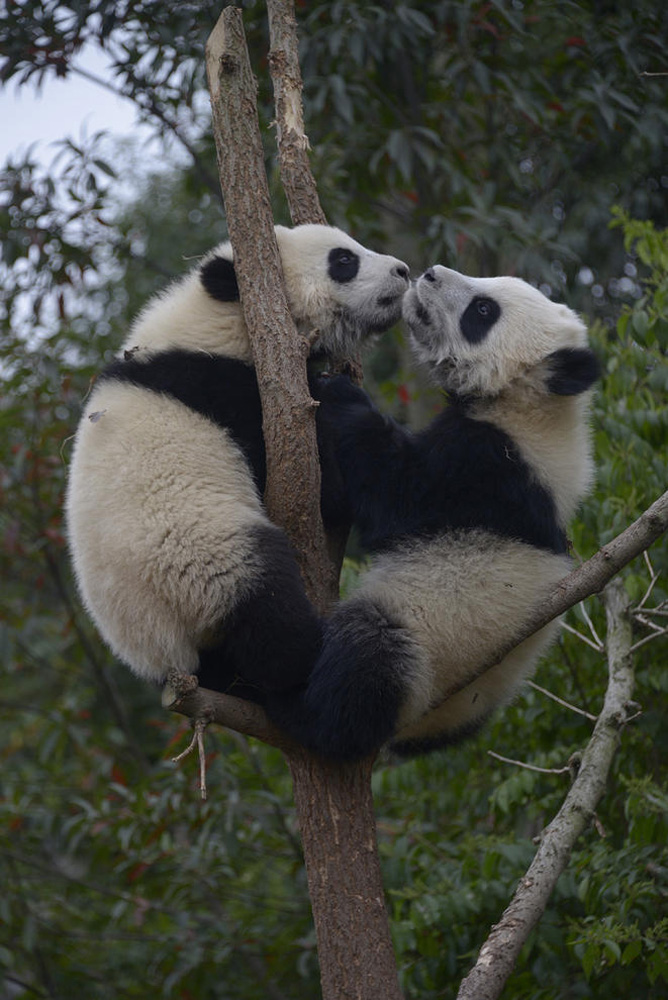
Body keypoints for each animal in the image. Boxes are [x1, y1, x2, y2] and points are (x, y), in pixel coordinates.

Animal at [65, 224, 410, 699]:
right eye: (343, 260)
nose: (404, 271)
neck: (217, 325)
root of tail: (168, 656)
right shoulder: (231, 395)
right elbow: (323, 494)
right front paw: (337, 396)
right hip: (202, 561)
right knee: (267, 605)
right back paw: (316, 650)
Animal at [267, 265, 600, 759]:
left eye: (483, 310)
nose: (429, 274)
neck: (535, 409)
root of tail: (416, 732)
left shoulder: (489, 469)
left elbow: (395, 495)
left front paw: (335, 391)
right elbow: (339, 496)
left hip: (424, 646)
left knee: (369, 656)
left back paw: (301, 712)